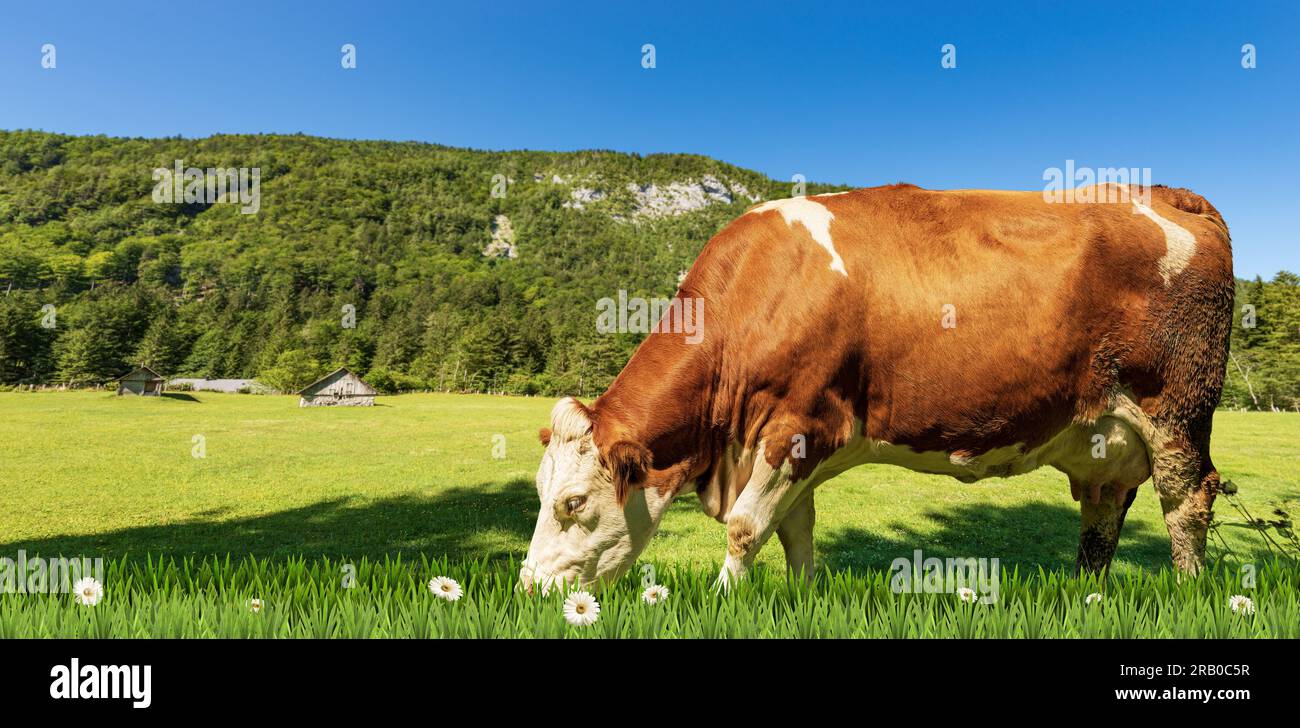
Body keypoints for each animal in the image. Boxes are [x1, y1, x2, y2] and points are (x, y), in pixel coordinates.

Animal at [520, 183, 1233, 594]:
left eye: (574, 503)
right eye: (541, 492)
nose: (528, 588)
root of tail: (1169, 193)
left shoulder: (796, 424)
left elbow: (747, 528)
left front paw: (724, 601)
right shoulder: (797, 446)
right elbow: (796, 534)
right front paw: (800, 602)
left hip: (1177, 412)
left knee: (1187, 501)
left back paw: (1187, 592)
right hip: (1102, 436)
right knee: (1102, 516)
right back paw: (1083, 597)